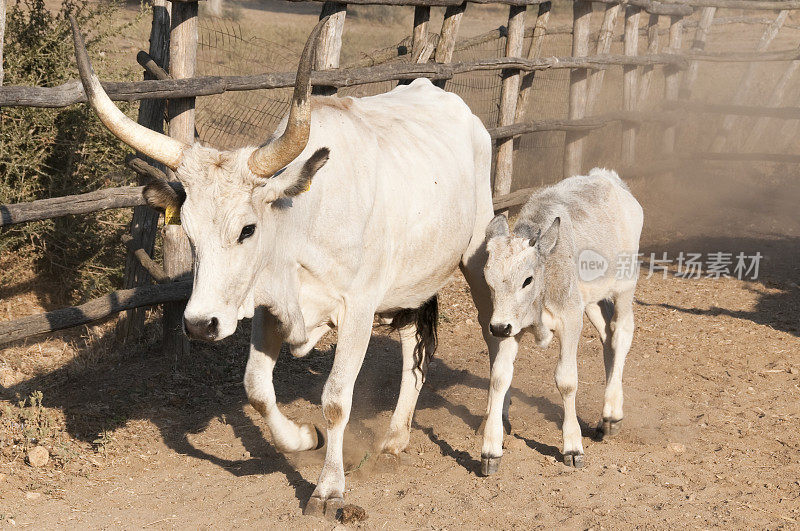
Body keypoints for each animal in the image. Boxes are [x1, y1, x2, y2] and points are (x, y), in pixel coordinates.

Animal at [72, 18, 504, 516]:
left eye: (247, 229)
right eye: (190, 234)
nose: (200, 324)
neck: (301, 220)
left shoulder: (358, 309)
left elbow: (335, 399)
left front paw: (330, 489)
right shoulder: (268, 306)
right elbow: (257, 388)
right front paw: (303, 437)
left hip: (477, 256)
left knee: (497, 340)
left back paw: (491, 444)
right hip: (414, 280)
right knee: (414, 344)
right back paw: (395, 438)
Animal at [482, 168, 644, 472]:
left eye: (527, 280)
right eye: (488, 279)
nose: (497, 327)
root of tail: (608, 178)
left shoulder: (570, 319)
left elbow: (567, 380)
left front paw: (572, 447)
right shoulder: (512, 326)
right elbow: (499, 377)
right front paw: (490, 450)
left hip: (626, 283)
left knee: (621, 333)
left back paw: (612, 412)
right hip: (590, 299)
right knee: (607, 337)